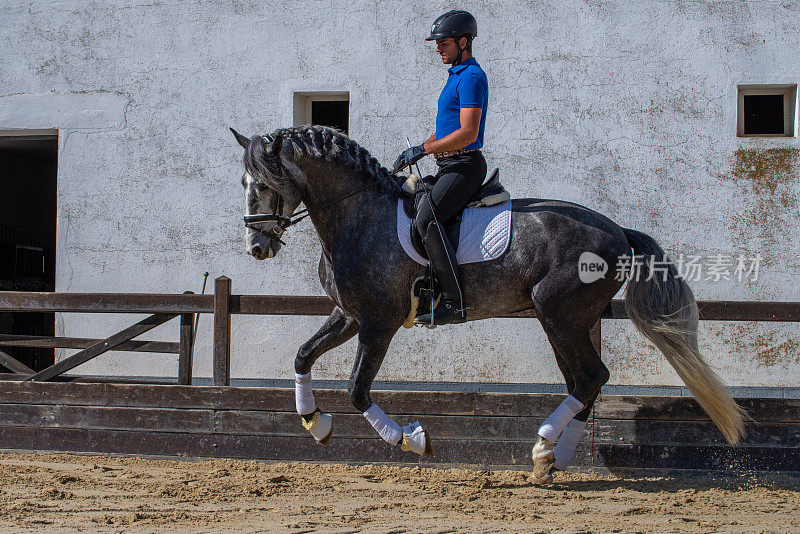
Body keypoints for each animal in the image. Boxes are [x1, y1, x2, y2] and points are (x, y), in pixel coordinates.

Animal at [230, 123, 744, 484]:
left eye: (267, 182)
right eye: (244, 182)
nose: (257, 247)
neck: (358, 216)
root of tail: (619, 231)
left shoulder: (379, 322)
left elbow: (358, 389)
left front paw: (412, 440)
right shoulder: (349, 316)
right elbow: (302, 356)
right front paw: (315, 423)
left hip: (559, 313)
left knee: (590, 377)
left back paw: (544, 448)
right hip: (563, 319)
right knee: (586, 380)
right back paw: (552, 458)